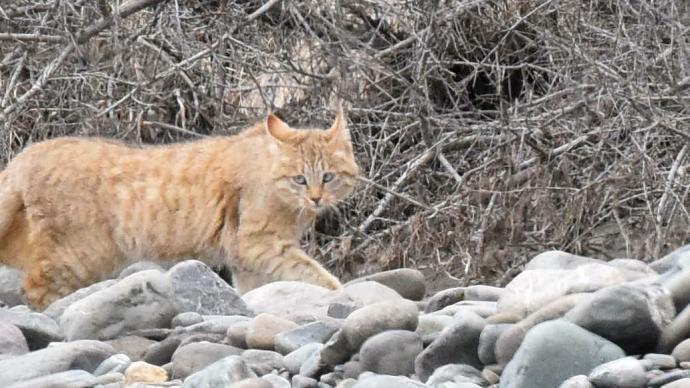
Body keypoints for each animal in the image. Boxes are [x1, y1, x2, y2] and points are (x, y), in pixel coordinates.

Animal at [0, 107, 354, 308]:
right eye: (299, 179)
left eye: (328, 177)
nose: (316, 198)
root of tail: (28, 153)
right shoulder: (258, 243)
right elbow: (309, 270)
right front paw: (339, 293)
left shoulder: (246, 258)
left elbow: (255, 289)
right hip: (76, 256)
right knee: (35, 289)